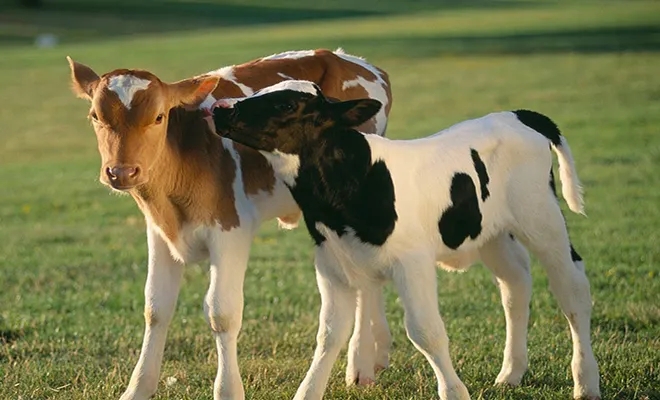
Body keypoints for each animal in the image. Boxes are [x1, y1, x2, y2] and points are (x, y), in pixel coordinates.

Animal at [65, 50, 392, 400]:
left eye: (158, 117)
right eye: (95, 116)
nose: (122, 172)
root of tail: (350, 59)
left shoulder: (230, 230)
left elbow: (222, 312)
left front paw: (228, 389)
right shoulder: (159, 232)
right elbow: (156, 306)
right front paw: (138, 387)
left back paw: (361, 362)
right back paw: (377, 354)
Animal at [214, 81, 600, 400]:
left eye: (287, 104)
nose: (221, 108)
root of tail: (519, 115)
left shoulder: (412, 262)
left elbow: (425, 331)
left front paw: (454, 392)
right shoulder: (332, 264)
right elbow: (329, 336)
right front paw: (308, 392)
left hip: (542, 219)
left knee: (572, 289)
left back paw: (585, 383)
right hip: (492, 234)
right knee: (515, 284)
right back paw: (511, 373)